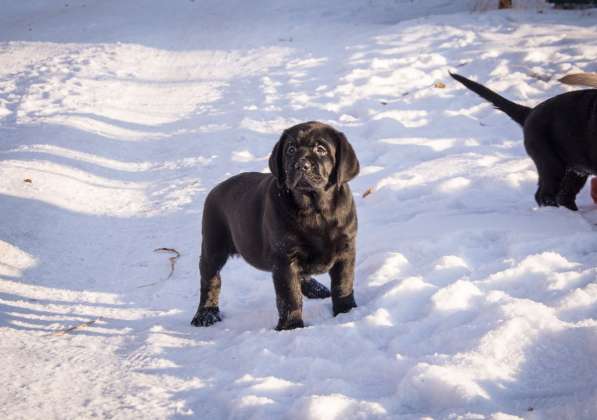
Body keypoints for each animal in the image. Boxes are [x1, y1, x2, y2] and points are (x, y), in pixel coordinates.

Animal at [191, 121, 358, 332]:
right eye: (291, 149)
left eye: (321, 149)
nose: (300, 165)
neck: (315, 209)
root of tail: (215, 189)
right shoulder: (285, 258)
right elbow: (289, 296)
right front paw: (291, 327)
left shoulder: (345, 250)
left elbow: (343, 283)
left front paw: (346, 312)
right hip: (214, 246)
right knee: (210, 280)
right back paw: (206, 314)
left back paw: (315, 289)